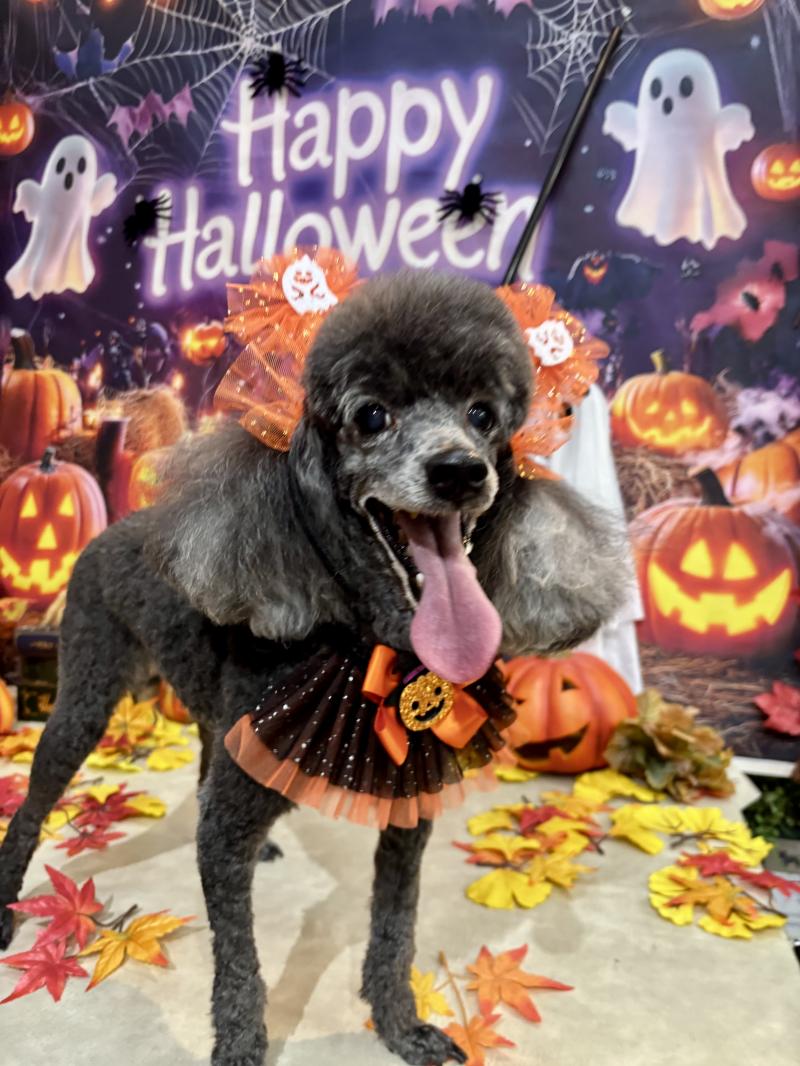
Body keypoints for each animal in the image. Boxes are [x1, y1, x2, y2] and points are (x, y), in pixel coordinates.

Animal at [0, 271, 626, 1066]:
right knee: (35, 800)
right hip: (84, 690)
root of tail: (119, 524)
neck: (371, 641)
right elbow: (239, 957)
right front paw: (242, 1044)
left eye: (484, 414)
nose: (460, 471)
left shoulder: (408, 816)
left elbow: (394, 929)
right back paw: (5, 905)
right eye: (370, 415)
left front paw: (401, 1027)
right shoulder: (226, 828)